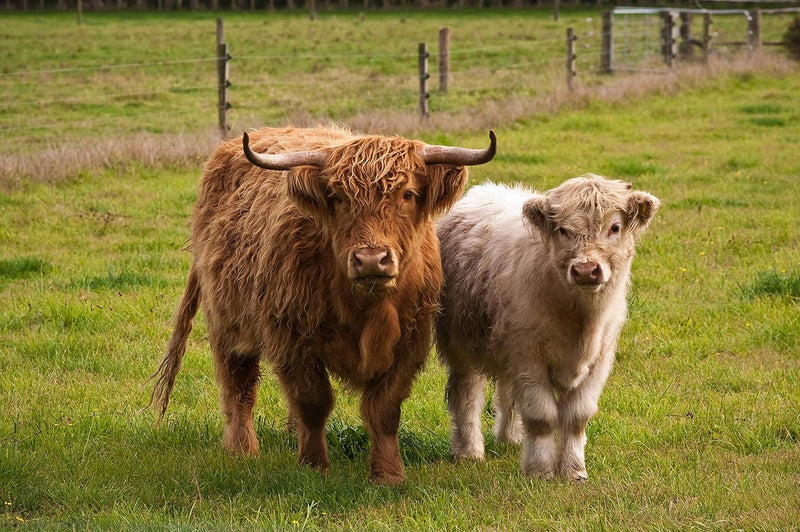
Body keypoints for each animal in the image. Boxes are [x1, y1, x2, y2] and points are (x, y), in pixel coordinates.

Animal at [434, 177, 660, 480]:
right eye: (563, 229)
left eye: (614, 227)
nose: (586, 270)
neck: (582, 324)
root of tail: (486, 189)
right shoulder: (528, 356)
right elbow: (541, 416)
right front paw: (539, 470)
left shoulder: (599, 359)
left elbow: (577, 416)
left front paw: (573, 470)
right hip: (460, 343)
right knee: (466, 396)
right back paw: (469, 451)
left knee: (507, 392)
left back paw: (510, 438)